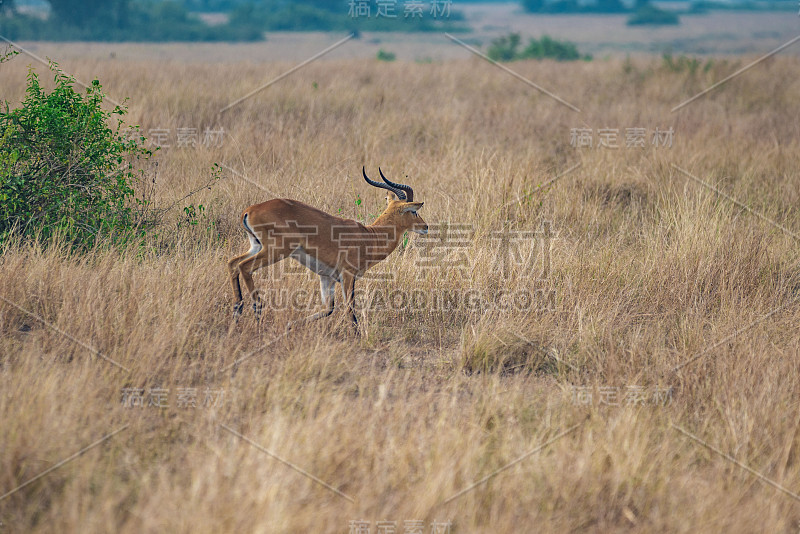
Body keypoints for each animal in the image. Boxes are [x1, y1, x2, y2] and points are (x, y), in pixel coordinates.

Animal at [228, 169, 428, 336]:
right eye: (413, 211)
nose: (425, 227)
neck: (369, 236)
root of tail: (249, 210)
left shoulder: (327, 277)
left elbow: (328, 309)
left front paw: (290, 326)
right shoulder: (347, 275)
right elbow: (349, 306)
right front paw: (357, 336)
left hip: (256, 246)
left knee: (233, 263)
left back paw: (237, 313)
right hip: (276, 250)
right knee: (244, 267)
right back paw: (257, 312)